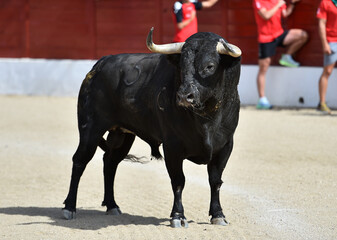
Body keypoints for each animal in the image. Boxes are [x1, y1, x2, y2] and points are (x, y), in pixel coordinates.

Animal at [62, 27, 242, 228]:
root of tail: (99, 65)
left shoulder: (225, 146)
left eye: (210, 66)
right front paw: (178, 216)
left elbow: (215, 180)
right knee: (80, 161)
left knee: (110, 163)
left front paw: (218, 214)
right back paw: (69, 208)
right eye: (181, 66)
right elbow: (178, 180)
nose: (183, 96)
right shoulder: (172, 147)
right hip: (90, 129)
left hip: (122, 135)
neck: (206, 119)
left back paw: (112, 205)